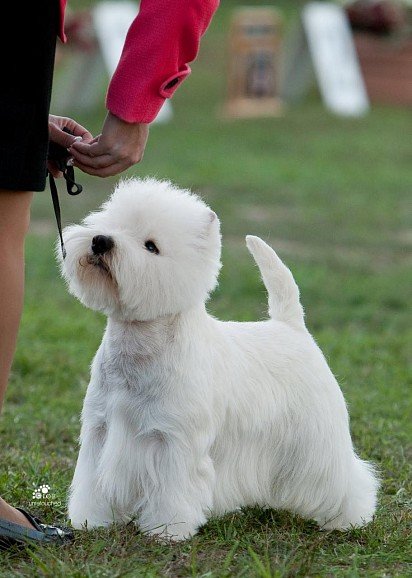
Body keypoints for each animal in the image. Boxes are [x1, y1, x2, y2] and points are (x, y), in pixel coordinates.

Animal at [58, 177, 380, 540]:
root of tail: (292, 326)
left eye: (151, 246)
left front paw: (167, 530)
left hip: (315, 437)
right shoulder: (101, 429)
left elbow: (173, 490)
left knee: (343, 477)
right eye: (110, 223)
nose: (101, 241)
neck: (139, 345)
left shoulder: (174, 439)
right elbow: (93, 483)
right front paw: (91, 521)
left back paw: (348, 519)